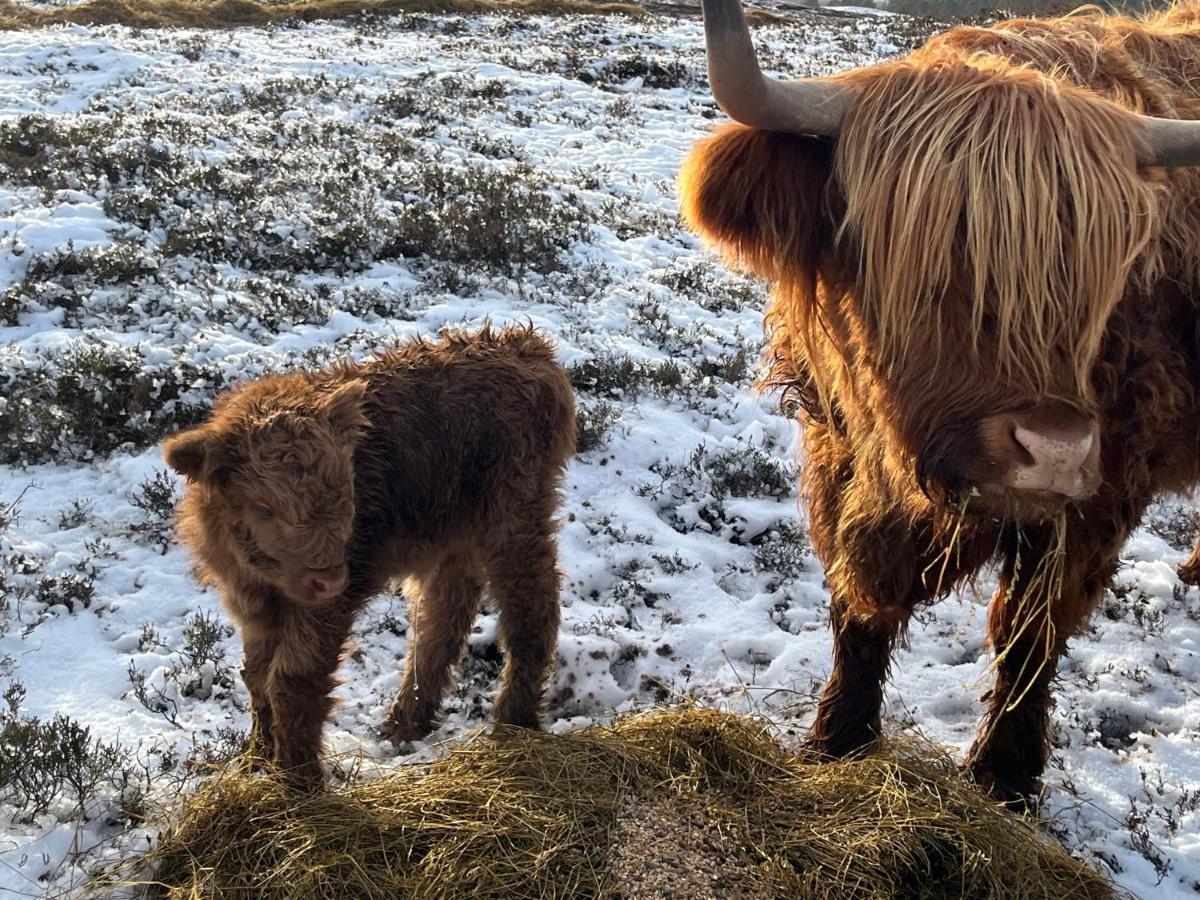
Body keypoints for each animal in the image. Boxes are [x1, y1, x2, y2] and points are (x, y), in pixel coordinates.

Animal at [164, 328, 576, 787]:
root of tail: (525, 345)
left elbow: (293, 680)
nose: (327, 579)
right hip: (453, 533)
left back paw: (513, 723)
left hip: (516, 520)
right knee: (442, 616)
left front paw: (299, 781)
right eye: (265, 508)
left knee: (530, 608)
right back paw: (406, 722)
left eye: (345, 489)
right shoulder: (248, 601)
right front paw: (256, 758)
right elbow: (256, 676)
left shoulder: (330, 603)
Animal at [681, 0, 1200, 801]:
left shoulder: (1104, 488)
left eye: (1103, 280)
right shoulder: (836, 446)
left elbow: (1031, 628)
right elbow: (858, 599)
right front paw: (840, 738)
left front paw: (1003, 776)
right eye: (929, 265)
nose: (1052, 453)